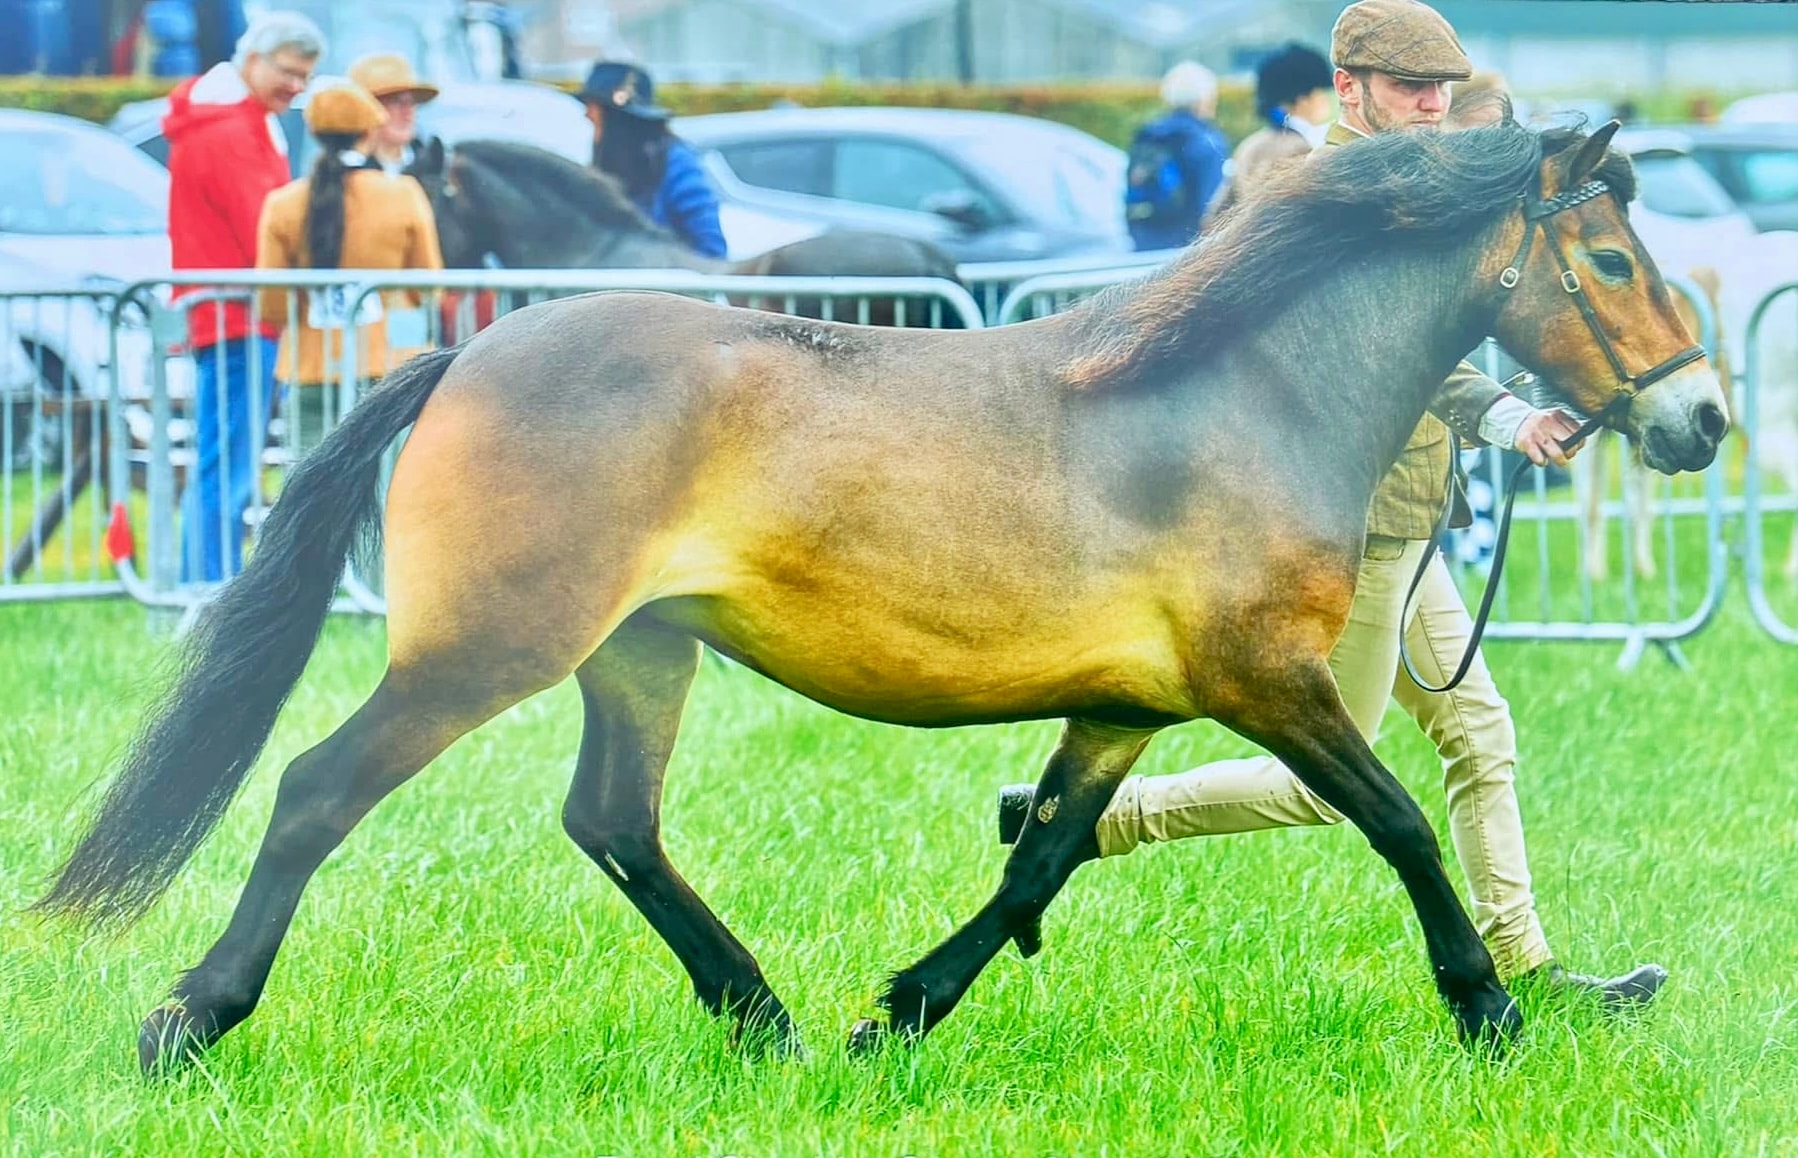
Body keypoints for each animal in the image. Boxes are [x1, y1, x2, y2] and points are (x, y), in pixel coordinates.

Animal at [34, 120, 1727, 1073]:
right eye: (1608, 258)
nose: (1700, 421)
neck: (1241, 389)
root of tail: (472, 348)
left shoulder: (1124, 707)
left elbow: (1042, 855)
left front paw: (895, 1013)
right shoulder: (1267, 680)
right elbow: (1395, 820)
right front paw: (1489, 1014)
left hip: (637, 654)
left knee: (613, 821)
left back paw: (768, 1023)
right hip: (486, 647)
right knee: (318, 789)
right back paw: (188, 1021)